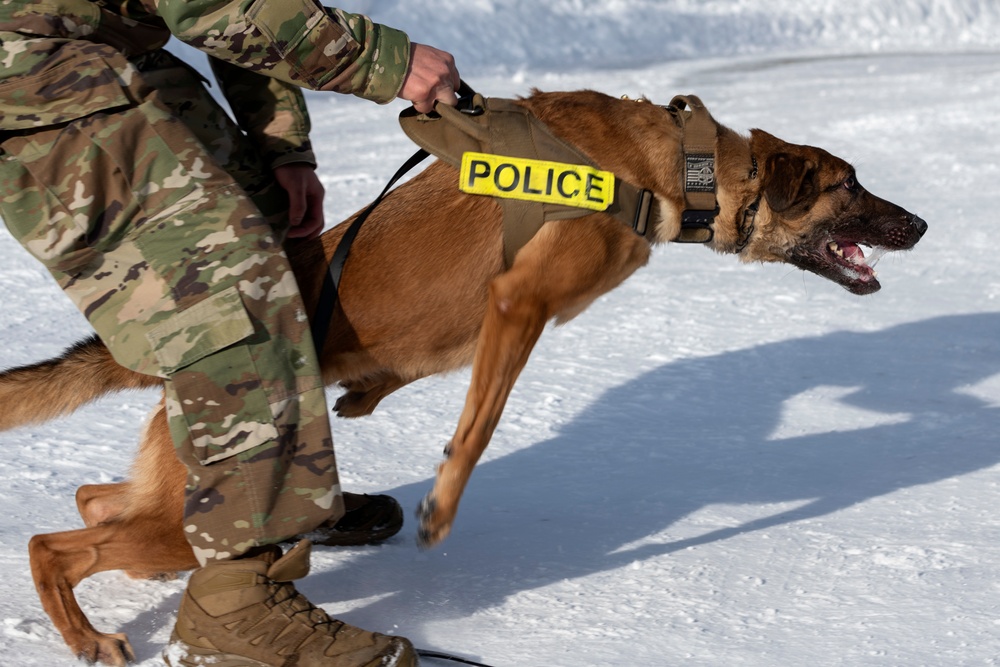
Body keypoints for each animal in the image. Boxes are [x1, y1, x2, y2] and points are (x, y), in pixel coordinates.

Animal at [0, 91, 924, 664]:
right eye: (850, 186)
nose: (919, 223)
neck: (679, 166)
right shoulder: (518, 306)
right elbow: (478, 426)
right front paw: (440, 508)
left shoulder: (476, 325)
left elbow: (412, 374)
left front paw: (363, 394)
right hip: (199, 506)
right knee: (54, 543)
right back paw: (85, 634)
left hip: (181, 491)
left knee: (96, 499)